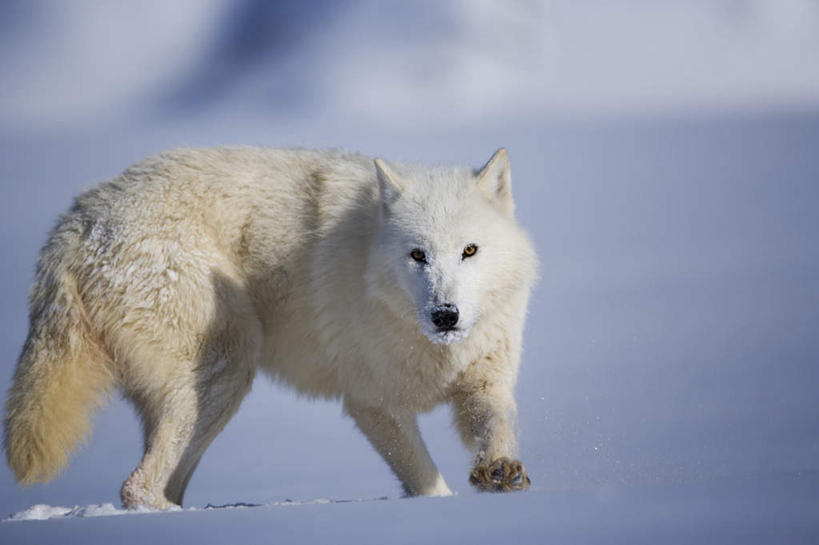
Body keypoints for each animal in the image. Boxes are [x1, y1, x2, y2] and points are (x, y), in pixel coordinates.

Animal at [4, 147, 540, 508]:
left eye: (469, 251)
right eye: (417, 255)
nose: (445, 315)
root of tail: (73, 225)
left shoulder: (483, 380)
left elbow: (497, 421)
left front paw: (500, 470)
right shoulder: (372, 404)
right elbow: (429, 485)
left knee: (159, 482)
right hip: (223, 372)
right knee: (137, 486)